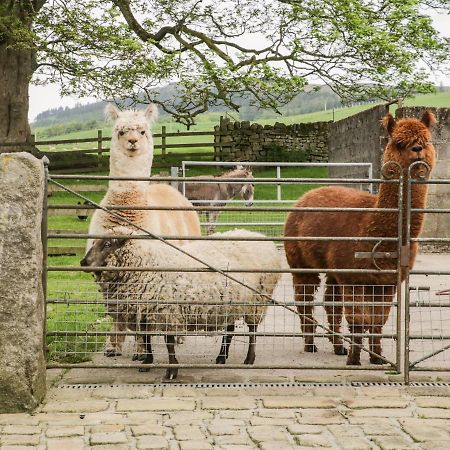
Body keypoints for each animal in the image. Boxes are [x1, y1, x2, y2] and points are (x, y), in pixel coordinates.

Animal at [79, 229, 280, 380]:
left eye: (107, 244)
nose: (83, 262)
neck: (146, 265)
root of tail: (260, 237)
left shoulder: (167, 312)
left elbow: (168, 343)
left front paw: (172, 370)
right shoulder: (144, 312)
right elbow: (146, 338)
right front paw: (147, 362)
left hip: (257, 300)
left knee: (252, 330)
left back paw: (249, 359)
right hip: (230, 302)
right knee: (230, 330)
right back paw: (221, 358)